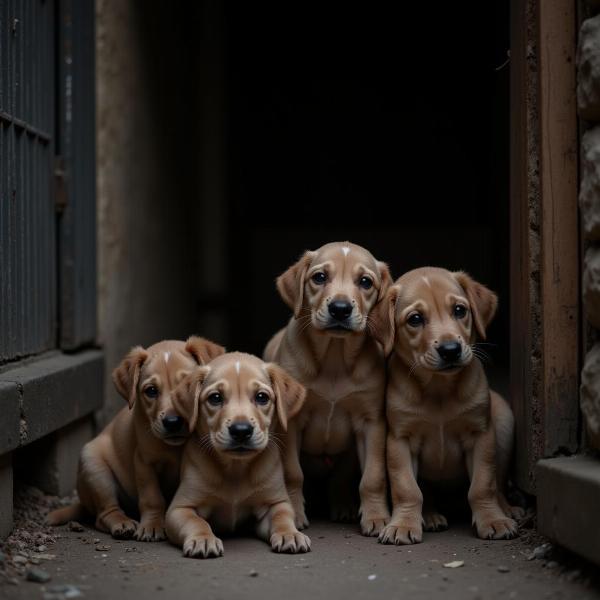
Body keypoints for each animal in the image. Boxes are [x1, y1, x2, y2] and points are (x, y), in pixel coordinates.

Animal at [47, 336, 225, 540]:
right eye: (151, 391)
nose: (172, 422)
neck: (175, 448)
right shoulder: (144, 463)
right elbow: (152, 498)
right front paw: (153, 525)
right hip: (95, 469)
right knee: (104, 514)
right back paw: (122, 523)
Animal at [166, 352, 312, 556]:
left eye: (261, 397)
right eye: (215, 398)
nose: (241, 430)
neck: (236, 468)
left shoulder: (277, 502)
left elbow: (282, 517)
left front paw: (290, 534)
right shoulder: (180, 507)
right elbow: (196, 521)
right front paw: (203, 539)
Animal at [264, 239, 392, 536]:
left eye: (365, 282)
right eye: (320, 277)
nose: (340, 309)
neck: (335, 357)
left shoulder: (371, 423)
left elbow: (373, 477)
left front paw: (377, 517)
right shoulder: (292, 423)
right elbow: (293, 474)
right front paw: (295, 515)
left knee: (340, 479)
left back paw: (343, 505)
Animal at [372, 268, 524, 544]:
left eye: (459, 310)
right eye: (415, 319)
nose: (450, 350)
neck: (439, 390)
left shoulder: (480, 434)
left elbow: (483, 486)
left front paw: (492, 519)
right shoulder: (400, 439)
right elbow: (407, 488)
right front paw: (403, 524)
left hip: (504, 421)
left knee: (498, 485)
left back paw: (507, 510)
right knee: (428, 494)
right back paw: (431, 516)